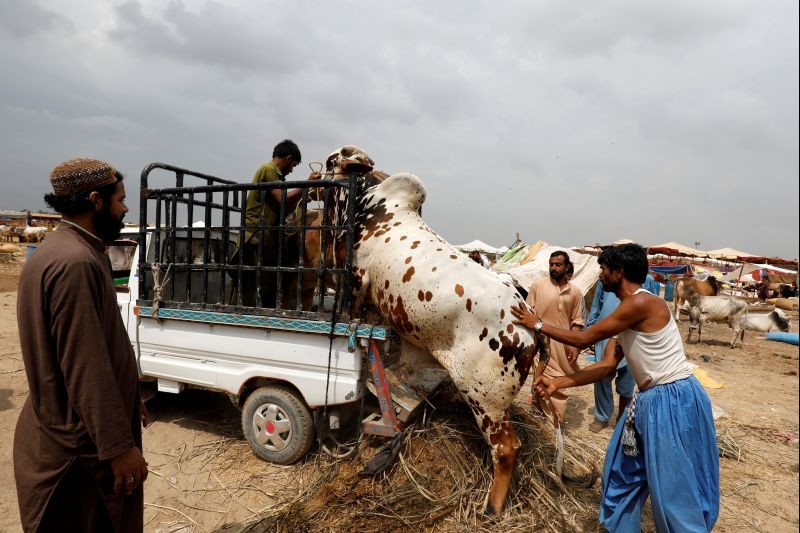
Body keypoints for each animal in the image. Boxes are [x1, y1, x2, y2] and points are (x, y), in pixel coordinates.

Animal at [318, 145, 556, 516]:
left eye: (332, 161)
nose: (314, 176)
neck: (372, 206)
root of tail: (530, 325)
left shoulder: (357, 280)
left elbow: (353, 315)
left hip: (486, 399)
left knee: (506, 448)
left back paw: (491, 506)